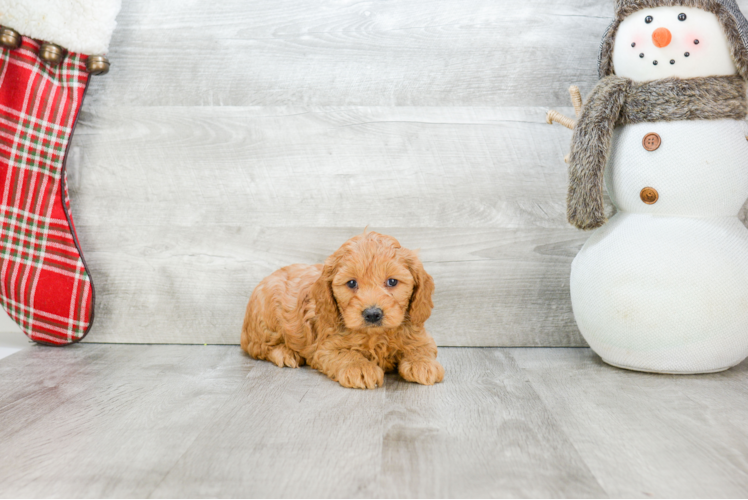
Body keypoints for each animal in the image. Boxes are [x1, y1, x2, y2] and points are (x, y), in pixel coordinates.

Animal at [241, 231, 444, 390]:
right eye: (352, 283)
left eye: (392, 281)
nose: (372, 314)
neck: (376, 335)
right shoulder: (325, 347)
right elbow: (345, 354)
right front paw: (360, 367)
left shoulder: (419, 333)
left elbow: (421, 347)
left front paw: (423, 364)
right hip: (265, 321)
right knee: (258, 347)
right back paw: (285, 353)